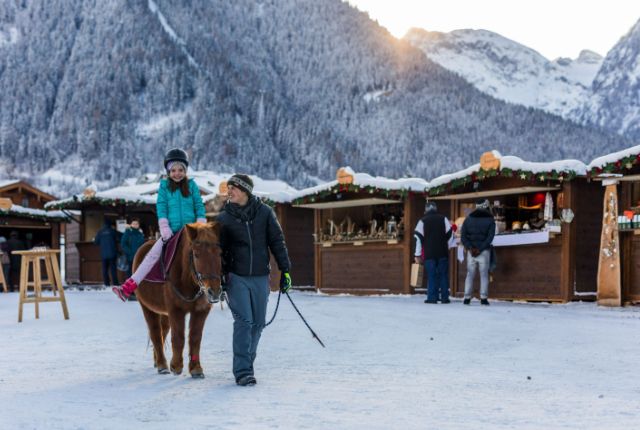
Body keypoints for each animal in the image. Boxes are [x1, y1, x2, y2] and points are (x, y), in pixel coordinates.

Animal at [132, 223, 222, 378]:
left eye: (219, 253)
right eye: (196, 254)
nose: (214, 292)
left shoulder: (201, 311)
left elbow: (195, 337)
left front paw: (196, 368)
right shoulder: (176, 310)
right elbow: (178, 337)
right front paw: (176, 366)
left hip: (164, 313)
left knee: (163, 332)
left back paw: (157, 360)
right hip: (147, 308)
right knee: (156, 333)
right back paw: (162, 365)